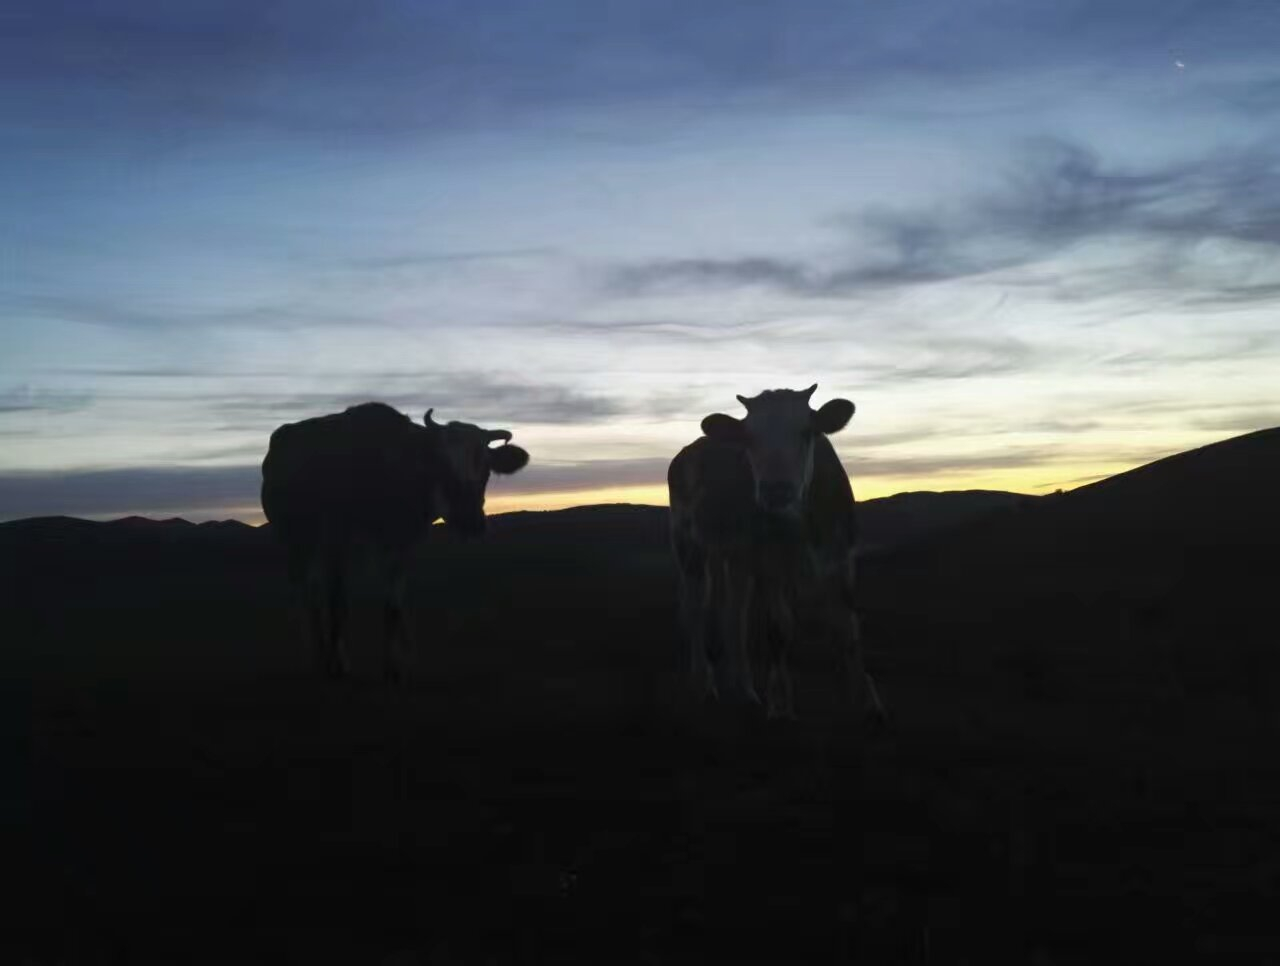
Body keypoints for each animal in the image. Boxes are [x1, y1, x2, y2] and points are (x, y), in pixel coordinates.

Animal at [261, 401, 529, 680]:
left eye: (486, 469)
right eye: (440, 464)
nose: (472, 521)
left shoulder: (400, 548)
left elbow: (392, 608)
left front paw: (394, 667)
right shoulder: (337, 543)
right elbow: (338, 605)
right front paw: (337, 665)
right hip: (295, 540)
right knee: (310, 596)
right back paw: (320, 654)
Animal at [665, 381, 885, 721]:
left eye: (807, 432)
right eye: (748, 438)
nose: (776, 490)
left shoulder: (841, 558)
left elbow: (849, 629)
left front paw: (867, 701)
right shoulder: (771, 567)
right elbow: (779, 628)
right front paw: (780, 704)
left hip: (737, 558)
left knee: (734, 614)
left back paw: (745, 691)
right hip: (688, 543)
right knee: (695, 609)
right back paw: (704, 685)